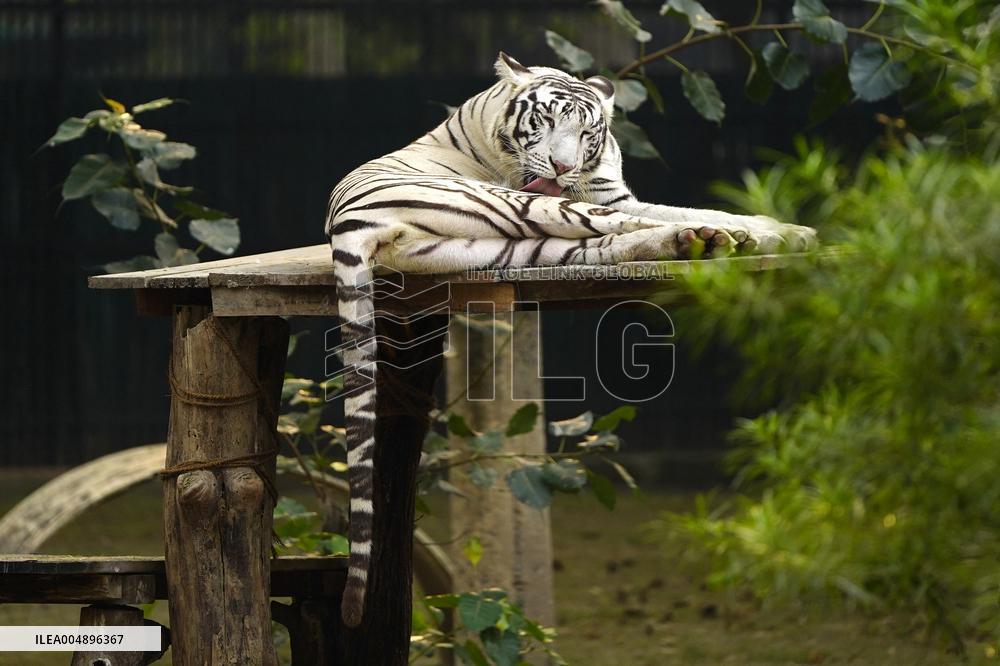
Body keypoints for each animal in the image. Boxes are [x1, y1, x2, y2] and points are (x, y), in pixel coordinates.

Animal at [324, 52, 817, 627]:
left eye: (587, 132)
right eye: (544, 121)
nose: (562, 169)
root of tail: (347, 219)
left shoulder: (610, 192)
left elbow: (694, 208)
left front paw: (776, 227)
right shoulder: (584, 197)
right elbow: (644, 211)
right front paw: (771, 231)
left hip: (513, 249)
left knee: (610, 243)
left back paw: (702, 240)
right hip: (518, 208)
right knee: (612, 225)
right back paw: (722, 242)